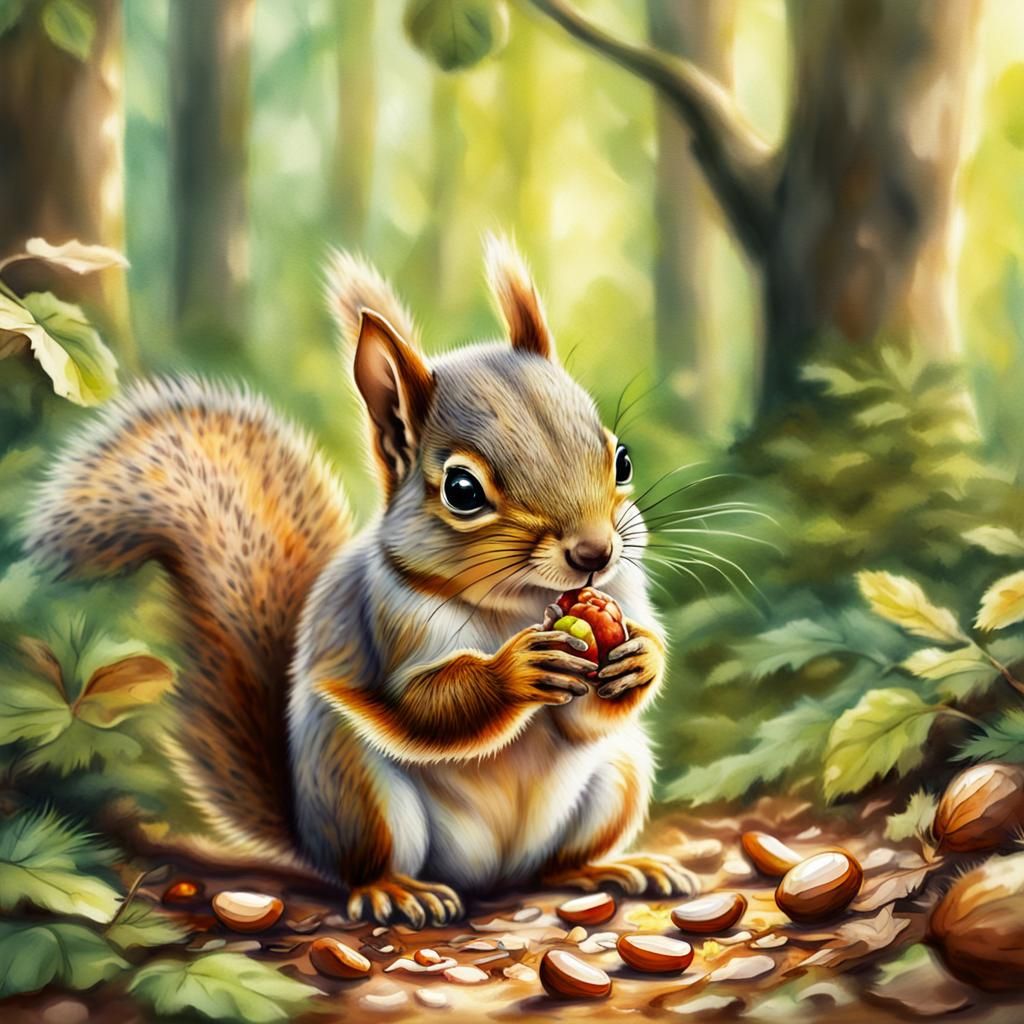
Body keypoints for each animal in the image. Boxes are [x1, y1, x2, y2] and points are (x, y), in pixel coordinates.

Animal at [26, 236, 696, 926]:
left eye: (621, 458)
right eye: (462, 490)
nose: (595, 552)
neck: (518, 604)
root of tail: (490, 876)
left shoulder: (621, 596)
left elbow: (586, 717)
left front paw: (640, 658)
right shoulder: (384, 618)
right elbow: (425, 706)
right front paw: (518, 670)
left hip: (619, 774)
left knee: (557, 865)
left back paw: (611, 867)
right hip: (359, 790)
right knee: (367, 864)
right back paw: (396, 891)